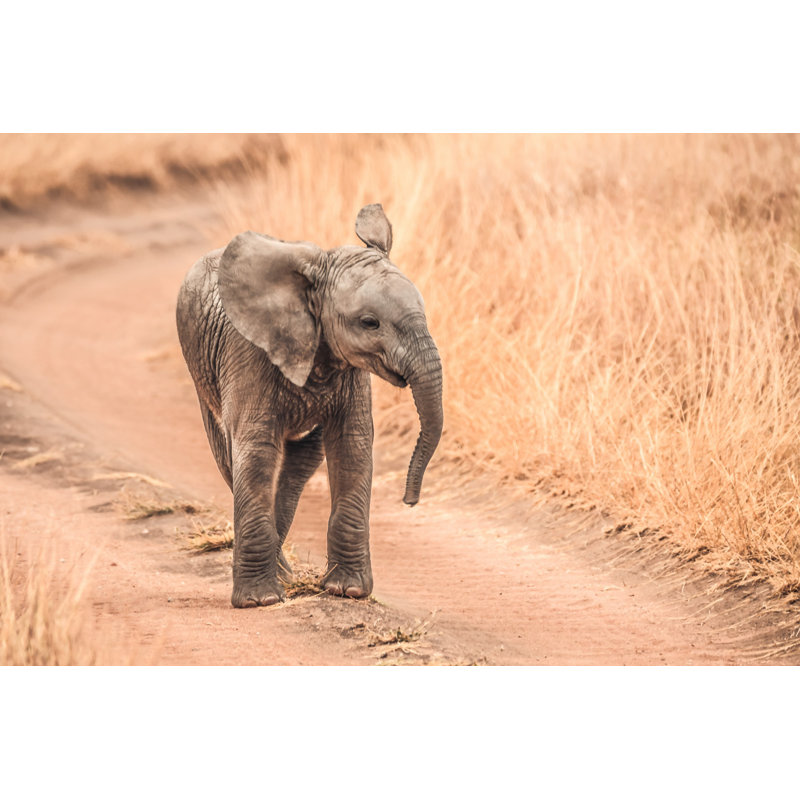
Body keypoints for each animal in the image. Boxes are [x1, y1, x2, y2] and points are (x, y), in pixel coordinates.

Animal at [176, 204, 443, 608]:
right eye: (370, 323)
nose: (410, 501)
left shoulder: (350, 373)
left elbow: (352, 447)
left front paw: (347, 591)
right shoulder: (247, 354)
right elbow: (255, 451)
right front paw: (259, 601)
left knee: (299, 466)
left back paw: (284, 571)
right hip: (200, 371)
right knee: (229, 458)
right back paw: (279, 574)